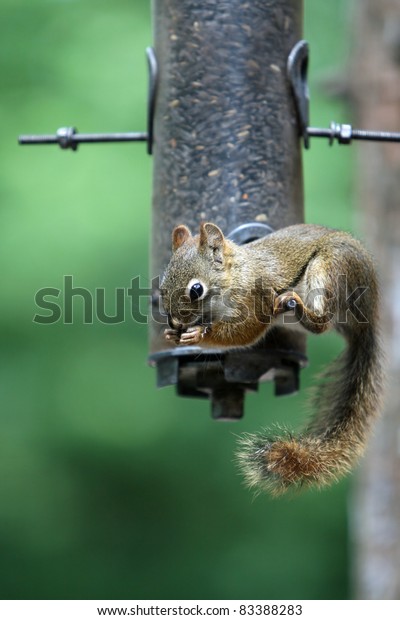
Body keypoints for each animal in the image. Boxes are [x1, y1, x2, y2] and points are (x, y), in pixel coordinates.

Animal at [160, 220, 384, 496]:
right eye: (161, 288)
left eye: (196, 290)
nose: (176, 323)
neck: (236, 274)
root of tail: (368, 317)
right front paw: (172, 334)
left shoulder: (256, 298)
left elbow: (245, 332)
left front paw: (199, 334)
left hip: (331, 266)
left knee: (321, 323)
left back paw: (298, 308)